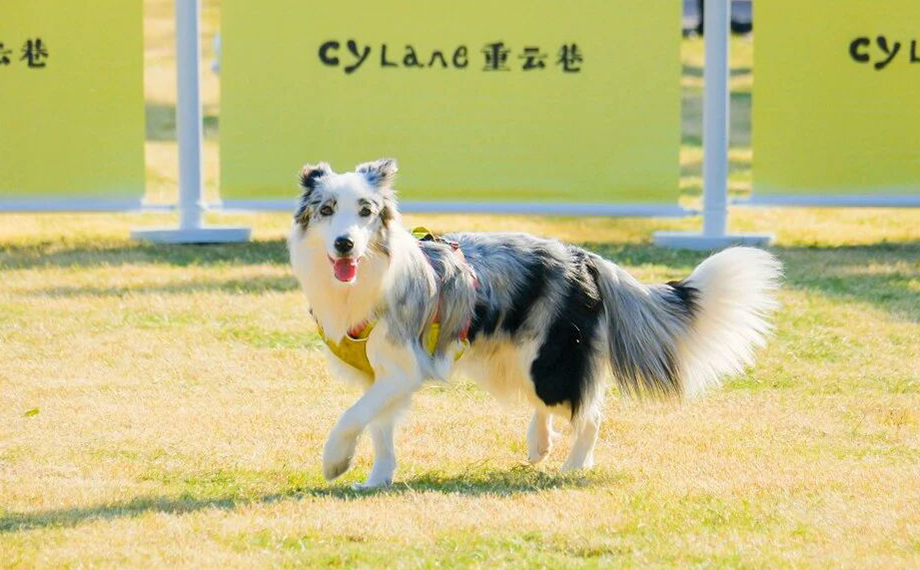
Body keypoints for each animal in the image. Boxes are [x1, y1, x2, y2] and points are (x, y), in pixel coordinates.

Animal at [288, 159, 782, 488]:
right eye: (327, 210)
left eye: (366, 211)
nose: (345, 244)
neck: (364, 281)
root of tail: (586, 258)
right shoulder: (380, 374)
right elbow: (378, 427)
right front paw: (376, 479)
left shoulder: (404, 370)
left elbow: (353, 416)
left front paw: (334, 461)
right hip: (513, 361)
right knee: (555, 405)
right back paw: (539, 443)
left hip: (547, 364)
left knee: (589, 412)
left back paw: (574, 466)